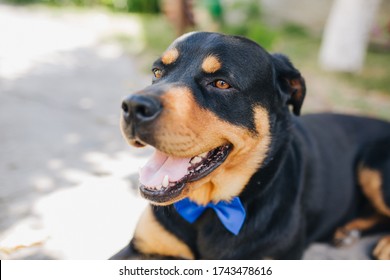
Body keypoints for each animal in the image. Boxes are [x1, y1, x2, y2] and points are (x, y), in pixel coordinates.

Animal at [109, 31, 390, 260]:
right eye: (157, 72)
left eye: (221, 83)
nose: (133, 106)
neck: (212, 206)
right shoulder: (141, 247)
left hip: (373, 165)